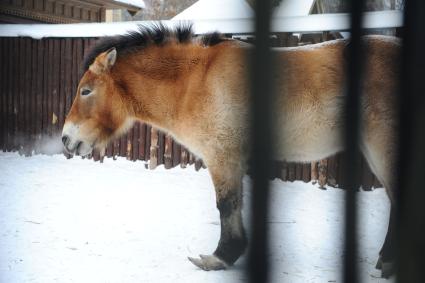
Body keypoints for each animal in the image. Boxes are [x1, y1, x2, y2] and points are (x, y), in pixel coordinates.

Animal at [61, 23, 400, 278]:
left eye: (86, 91)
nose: (66, 139)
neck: (195, 81)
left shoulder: (222, 156)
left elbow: (226, 205)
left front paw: (220, 257)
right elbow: (233, 204)